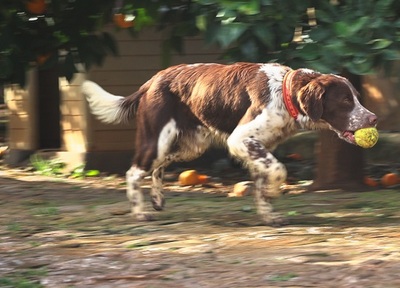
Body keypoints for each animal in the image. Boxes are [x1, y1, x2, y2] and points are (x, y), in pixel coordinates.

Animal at [82, 62, 378, 225]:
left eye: (357, 97)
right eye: (345, 101)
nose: (373, 118)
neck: (284, 94)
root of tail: (151, 81)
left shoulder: (259, 148)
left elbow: (263, 182)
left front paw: (269, 215)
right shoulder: (241, 140)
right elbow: (278, 170)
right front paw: (274, 194)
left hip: (190, 145)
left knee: (157, 167)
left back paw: (157, 199)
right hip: (157, 139)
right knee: (134, 172)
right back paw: (140, 212)